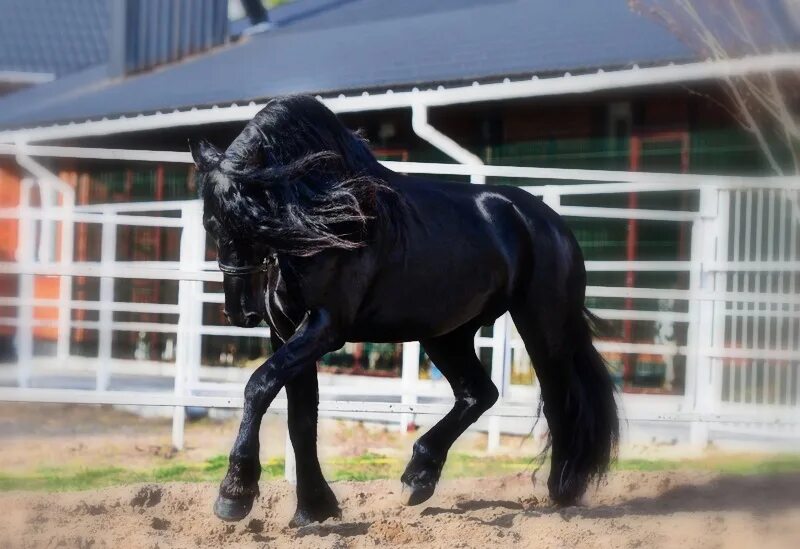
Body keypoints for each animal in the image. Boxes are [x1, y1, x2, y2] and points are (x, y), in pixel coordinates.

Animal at [189, 95, 620, 528]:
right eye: (211, 223)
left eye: (254, 221)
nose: (241, 313)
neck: (326, 219)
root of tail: (549, 222)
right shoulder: (285, 332)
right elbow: (301, 419)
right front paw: (313, 510)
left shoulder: (324, 328)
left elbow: (258, 385)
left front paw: (234, 494)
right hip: (446, 335)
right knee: (479, 394)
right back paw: (418, 478)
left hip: (543, 328)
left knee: (560, 398)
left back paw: (563, 488)